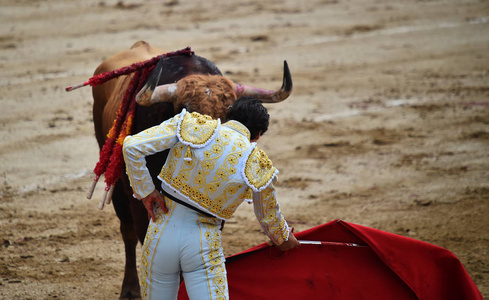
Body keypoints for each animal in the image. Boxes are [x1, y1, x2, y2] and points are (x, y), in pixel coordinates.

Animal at [89, 41, 292, 298]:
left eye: (227, 110)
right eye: (187, 108)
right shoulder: (139, 201)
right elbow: (140, 231)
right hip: (116, 184)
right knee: (127, 232)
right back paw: (130, 289)